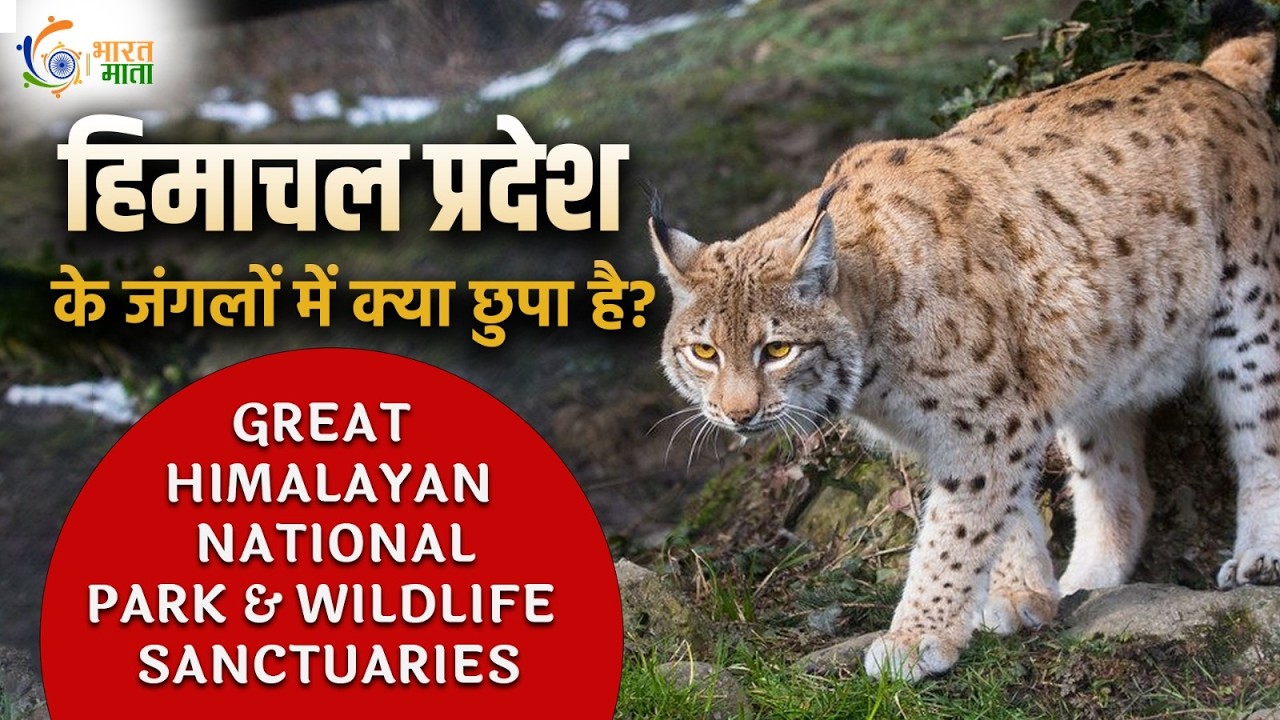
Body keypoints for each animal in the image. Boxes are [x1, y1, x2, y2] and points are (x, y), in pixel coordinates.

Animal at [648, 0, 1280, 680]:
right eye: (705, 352)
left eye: (778, 350)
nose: (737, 415)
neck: (871, 358)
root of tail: (1205, 73)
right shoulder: (999, 413)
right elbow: (1005, 511)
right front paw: (1022, 594)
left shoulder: (991, 420)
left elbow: (956, 530)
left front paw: (916, 636)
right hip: (1098, 354)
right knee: (1124, 483)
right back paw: (1087, 578)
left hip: (1249, 315)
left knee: (1260, 433)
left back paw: (1258, 555)